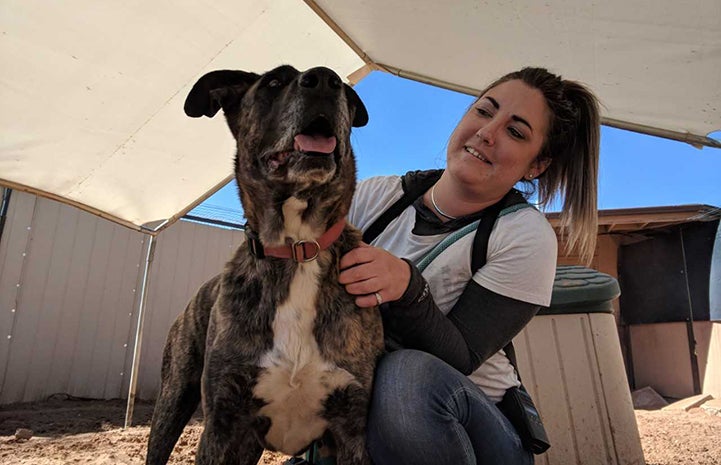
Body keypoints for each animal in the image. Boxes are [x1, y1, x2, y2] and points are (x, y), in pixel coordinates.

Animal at [144, 66, 386, 464]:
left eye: (341, 87)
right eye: (274, 81)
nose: (326, 79)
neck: (298, 247)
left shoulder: (351, 430)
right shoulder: (222, 427)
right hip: (173, 399)